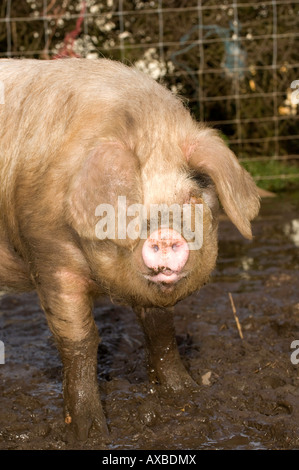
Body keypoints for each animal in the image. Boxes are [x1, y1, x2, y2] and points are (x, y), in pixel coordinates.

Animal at [0, 58, 260, 440]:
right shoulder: (48, 254)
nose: (166, 234)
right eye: (127, 203)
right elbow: (80, 341)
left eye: (193, 196)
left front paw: (187, 392)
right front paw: (91, 435)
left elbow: (160, 329)